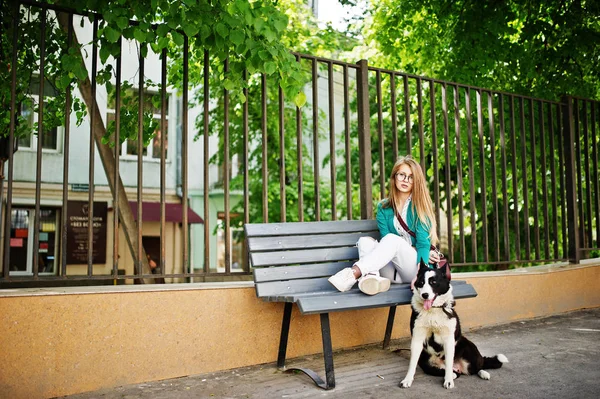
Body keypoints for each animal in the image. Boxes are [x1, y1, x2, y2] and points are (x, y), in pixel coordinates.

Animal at [400, 262, 508, 390]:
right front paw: (407, 379)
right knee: (454, 372)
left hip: (469, 349)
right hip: (426, 362)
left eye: (433, 282)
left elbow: (449, 361)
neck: (434, 310)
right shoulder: (417, 339)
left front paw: (448, 381)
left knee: (477, 367)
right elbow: (412, 364)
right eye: (421, 282)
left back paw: (483, 373)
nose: (424, 295)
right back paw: (454, 374)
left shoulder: (449, 340)